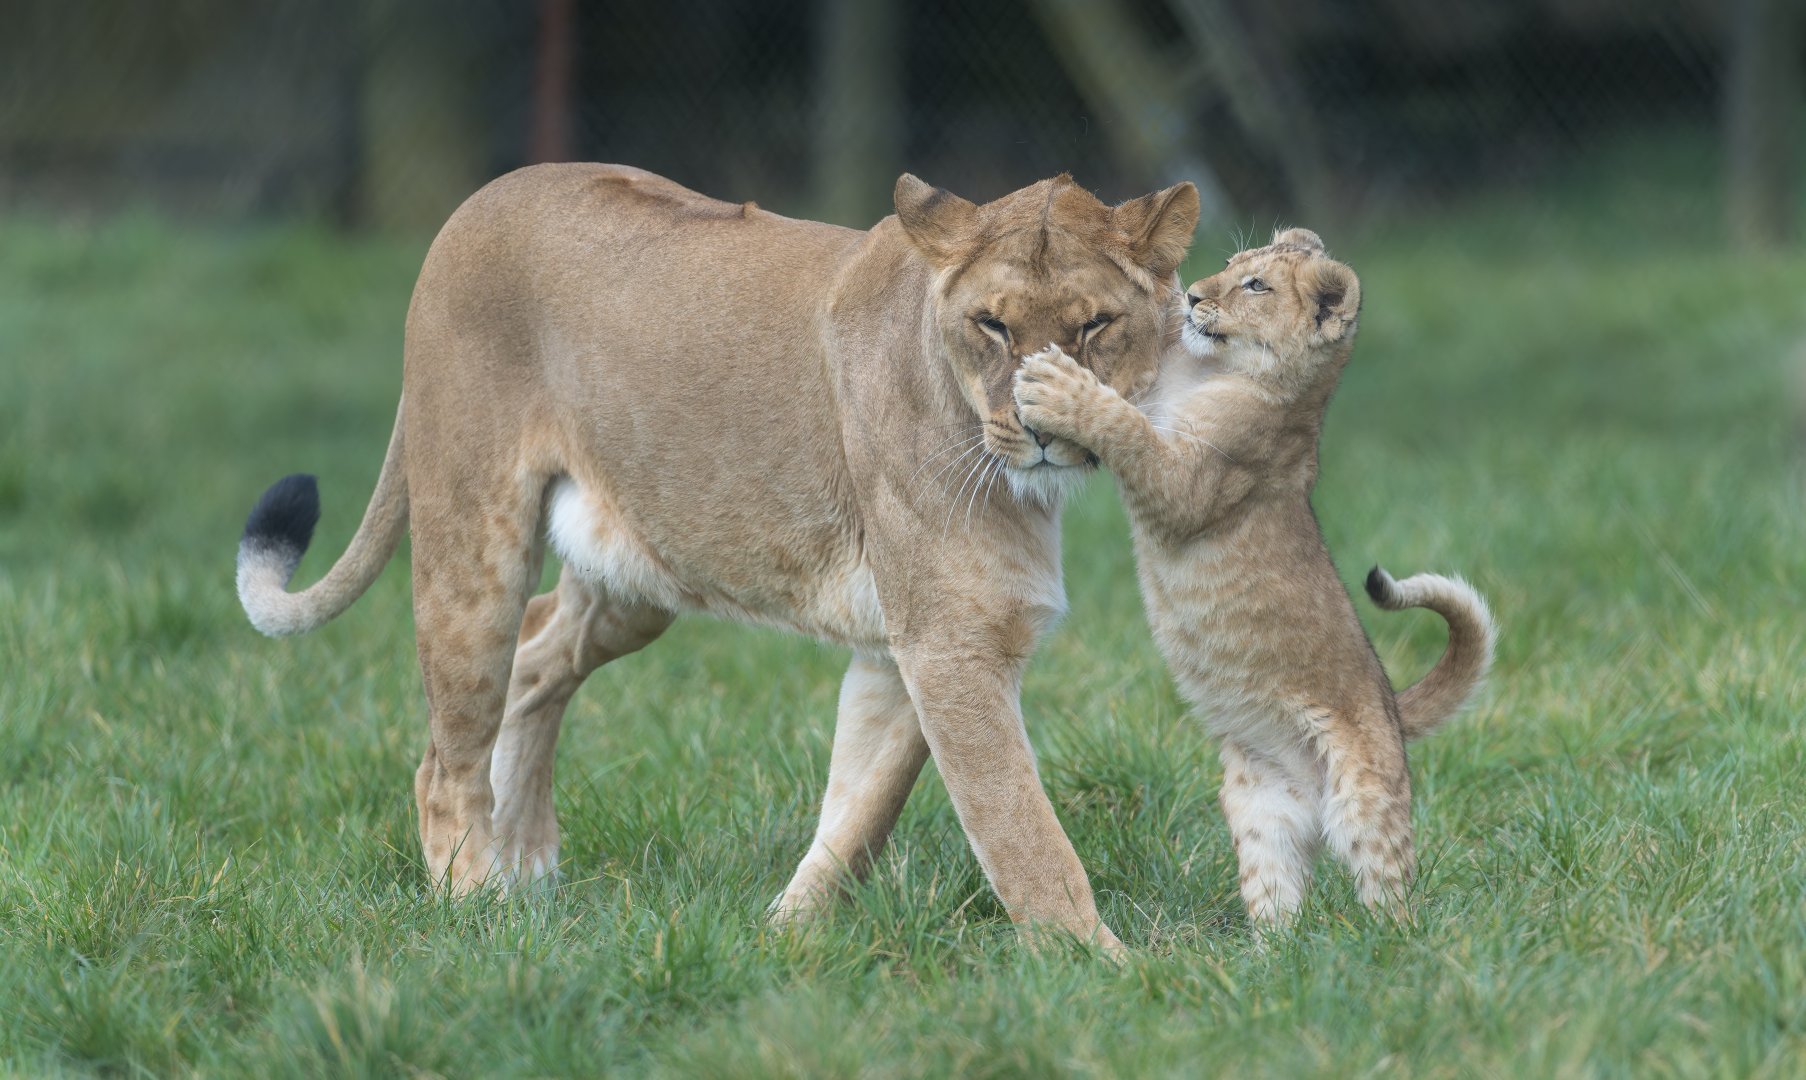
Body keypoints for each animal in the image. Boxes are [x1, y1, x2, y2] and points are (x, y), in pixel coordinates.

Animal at [234, 164, 1199, 952]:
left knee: (537, 657)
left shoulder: (906, 648)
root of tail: (476, 201)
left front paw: (783, 938)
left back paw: (528, 867)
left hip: (636, 573)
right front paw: (1104, 973)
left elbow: (861, 812)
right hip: (474, 541)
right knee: (447, 755)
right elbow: (1021, 829)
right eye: (991, 325)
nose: (1039, 430)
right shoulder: (950, 640)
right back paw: (476, 910)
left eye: (1097, 324)